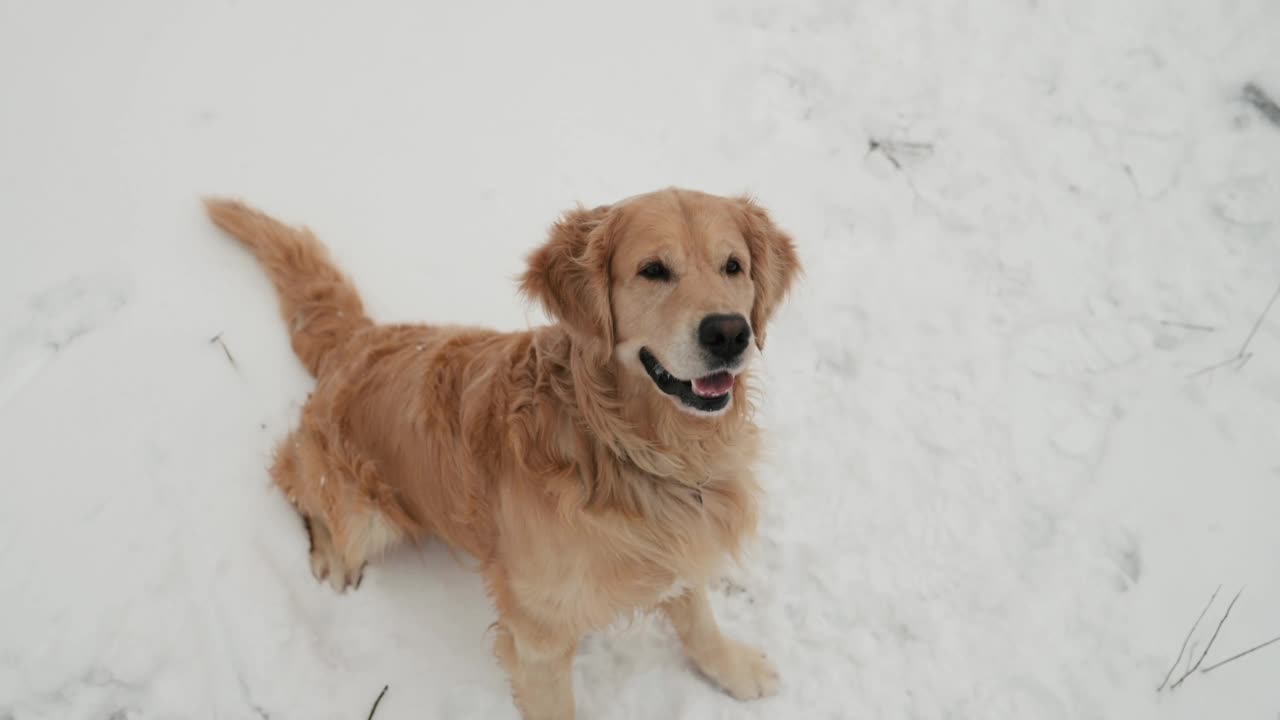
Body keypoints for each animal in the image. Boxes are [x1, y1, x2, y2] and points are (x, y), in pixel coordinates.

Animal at [204, 188, 793, 712]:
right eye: (653, 270)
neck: (623, 444)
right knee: (292, 474)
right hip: (363, 515)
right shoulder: (538, 636)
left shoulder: (680, 544)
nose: (730, 333)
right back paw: (327, 555)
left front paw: (736, 670)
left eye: (733, 266)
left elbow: (699, 621)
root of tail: (359, 339)